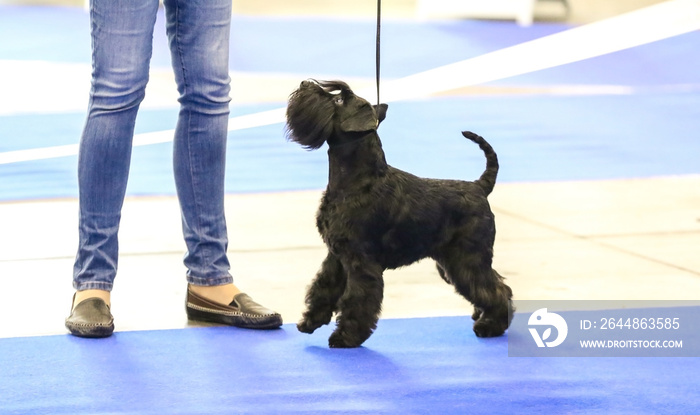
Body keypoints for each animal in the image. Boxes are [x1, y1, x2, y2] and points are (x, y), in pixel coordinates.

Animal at [286, 80, 516, 348]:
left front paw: (346, 336)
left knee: (496, 289)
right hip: (451, 262)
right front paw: (310, 321)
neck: (356, 180)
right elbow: (323, 287)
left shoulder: (360, 261)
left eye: (339, 99)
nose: (304, 84)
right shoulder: (337, 255)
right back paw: (481, 316)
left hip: (468, 258)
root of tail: (480, 187)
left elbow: (357, 300)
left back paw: (490, 325)